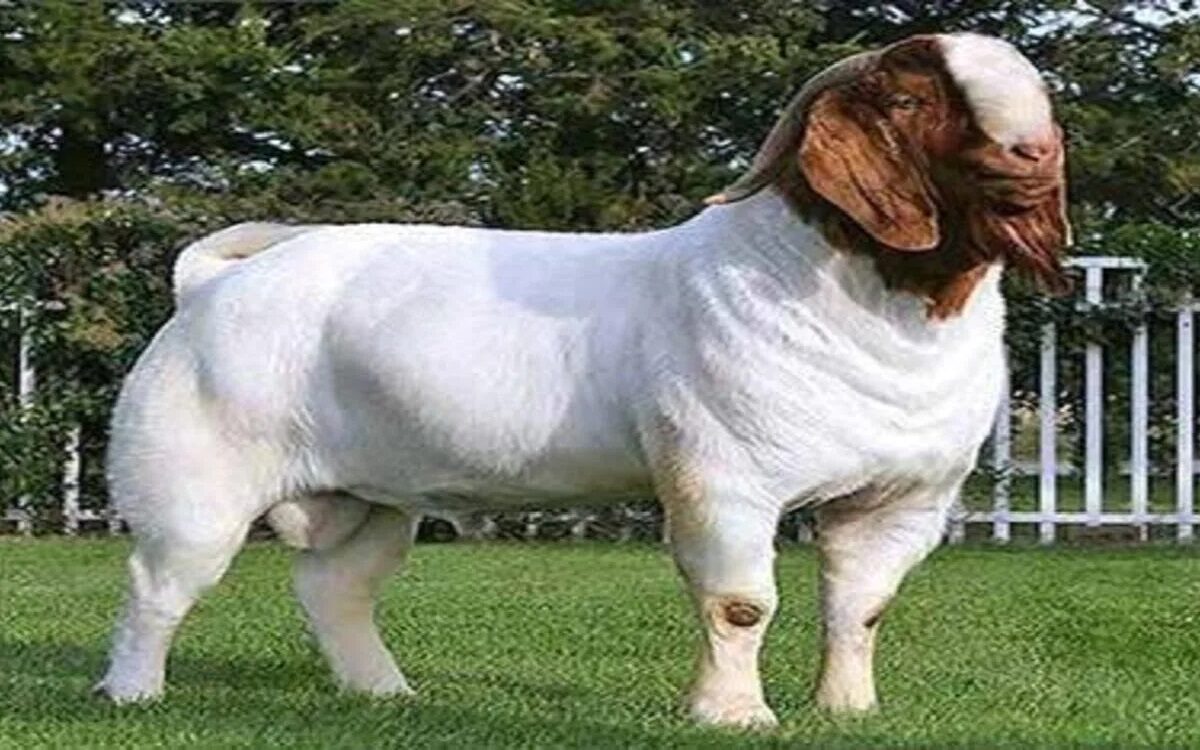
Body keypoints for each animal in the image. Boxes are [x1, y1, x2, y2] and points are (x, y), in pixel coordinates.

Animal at [96, 32, 1069, 727]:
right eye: (911, 98)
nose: (1033, 154)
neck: (881, 310)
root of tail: (211, 286)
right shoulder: (725, 479)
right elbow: (741, 604)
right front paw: (734, 717)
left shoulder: (906, 499)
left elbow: (861, 607)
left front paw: (849, 712)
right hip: (195, 477)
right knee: (159, 584)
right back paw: (134, 694)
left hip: (373, 497)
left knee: (337, 586)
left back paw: (386, 694)